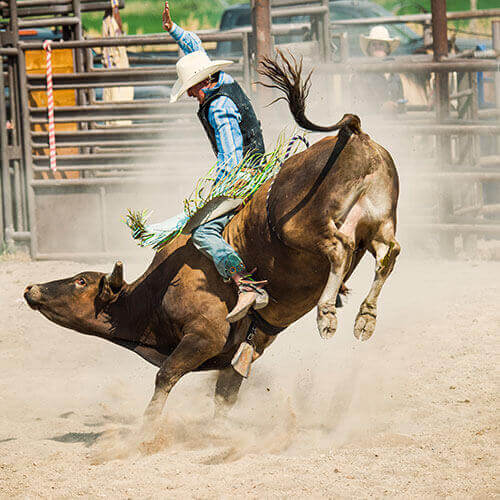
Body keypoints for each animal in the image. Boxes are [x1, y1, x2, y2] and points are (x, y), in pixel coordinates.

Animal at [23, 55, 400, 430]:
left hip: (301, 227)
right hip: (379, 222)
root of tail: (355, 136)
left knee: (340, 248)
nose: (31, 288)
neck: (157, 291)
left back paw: (326, 315)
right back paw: (365, 318)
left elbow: (166, 376)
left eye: (80, 281)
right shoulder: (246, 349)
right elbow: (225, 395)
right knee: (388, 253)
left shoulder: (206, 334)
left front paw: (146, 430)